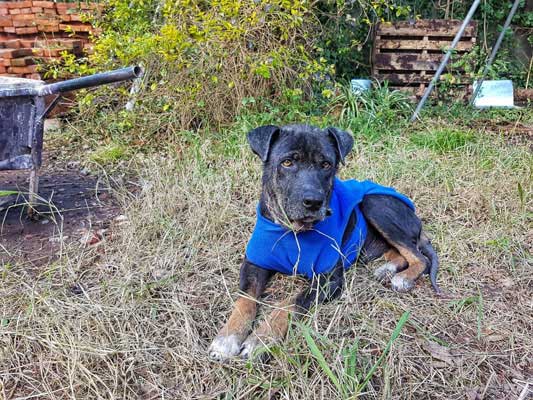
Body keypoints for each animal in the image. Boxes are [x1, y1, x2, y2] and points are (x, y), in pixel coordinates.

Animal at [207, 125, 436, 362]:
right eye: (287, 162)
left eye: (326, 164)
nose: (314, 202)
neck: (294, 231)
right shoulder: (254, 264)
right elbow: (245, 300)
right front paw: (227, 338)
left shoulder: (328, 280)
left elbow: (290, 302)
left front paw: (261, 339)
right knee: (400, 253)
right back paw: (387, 269)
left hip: (375, 203)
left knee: (420, 257)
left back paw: (403, 278)